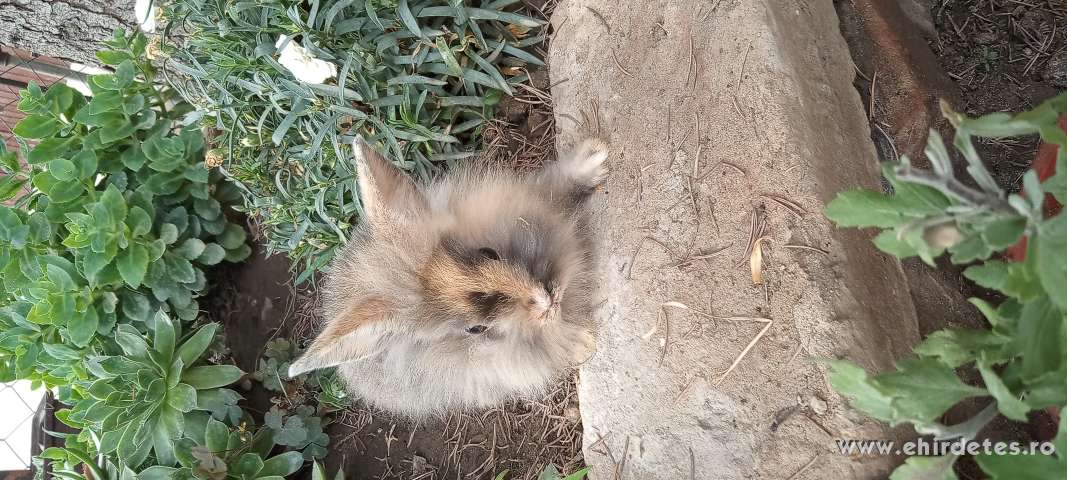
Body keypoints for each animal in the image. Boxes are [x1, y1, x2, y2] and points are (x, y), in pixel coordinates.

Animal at [287, 137, 610, 417]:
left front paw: (596, 157)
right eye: (475, 329)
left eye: (489, 253)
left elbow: (556, 184)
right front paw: (583, 343)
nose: (547, 300)